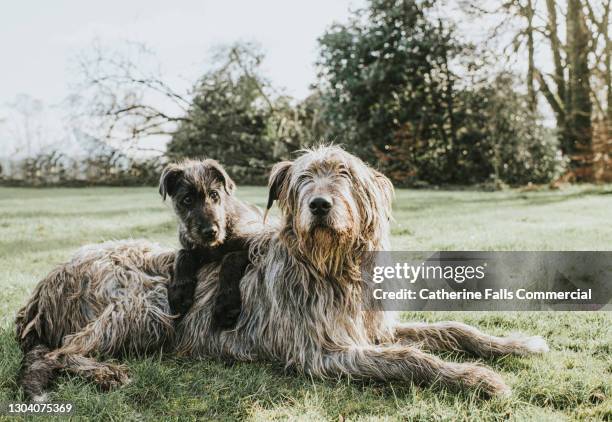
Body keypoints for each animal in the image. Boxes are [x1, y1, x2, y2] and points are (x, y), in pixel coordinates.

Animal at [159, 160, 262, 328]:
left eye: (214, 194)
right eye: (187, 199)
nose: (210, 231)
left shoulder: (256, 244)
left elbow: (230, 258)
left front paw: (226, 304)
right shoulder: (189, 244)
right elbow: (182, 255)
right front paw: (180, 290)